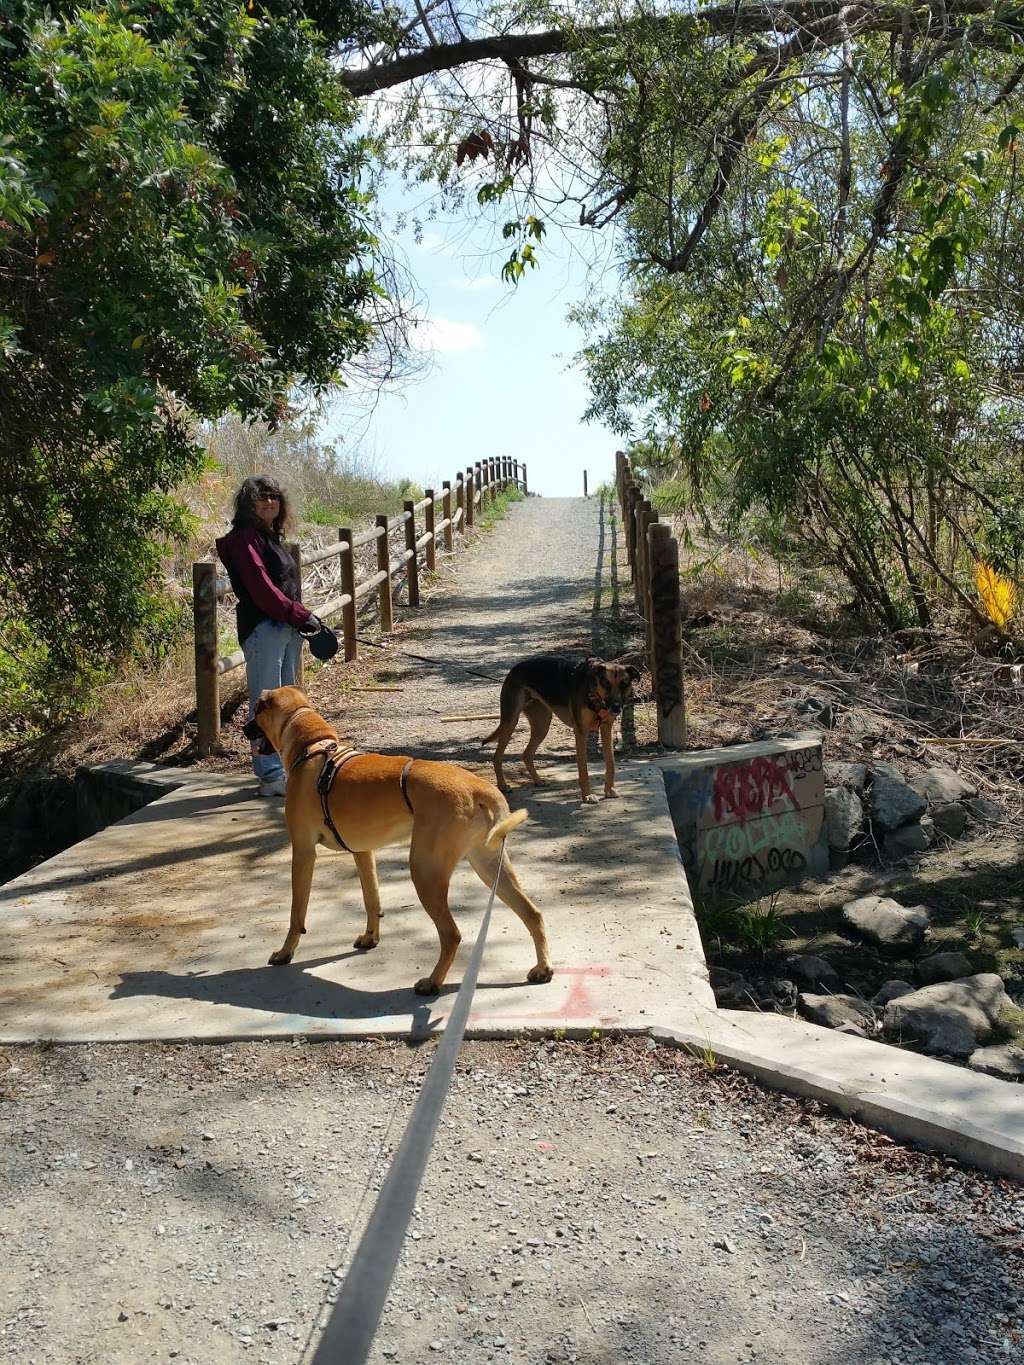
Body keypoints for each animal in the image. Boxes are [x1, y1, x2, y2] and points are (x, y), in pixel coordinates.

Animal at [247, 687, 554, 999]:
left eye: (256, 710)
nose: (245, 729)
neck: (313, 745)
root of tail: (480, 788)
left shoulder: (303, 852)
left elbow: (297, 912)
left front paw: (285, 952)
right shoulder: (363, 853)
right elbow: (371, 900)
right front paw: (370, 937)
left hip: (425, 871)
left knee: (451, 934)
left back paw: (432, 982)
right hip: (490, 866)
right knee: (532, 913)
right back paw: (543, 968)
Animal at [483, 655, 641, 802]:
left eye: (625, 684)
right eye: (605, 683)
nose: (616, 707)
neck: (594, 694)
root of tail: (513, 669)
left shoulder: (607, 728)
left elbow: (611, 763)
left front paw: (610, 790)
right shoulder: (581, 732)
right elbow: (583, 769)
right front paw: (587, 795)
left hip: (542, 724)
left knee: (526, 754)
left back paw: (538, 781)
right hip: (511, 721)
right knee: (497, 756)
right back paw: (503, 786)